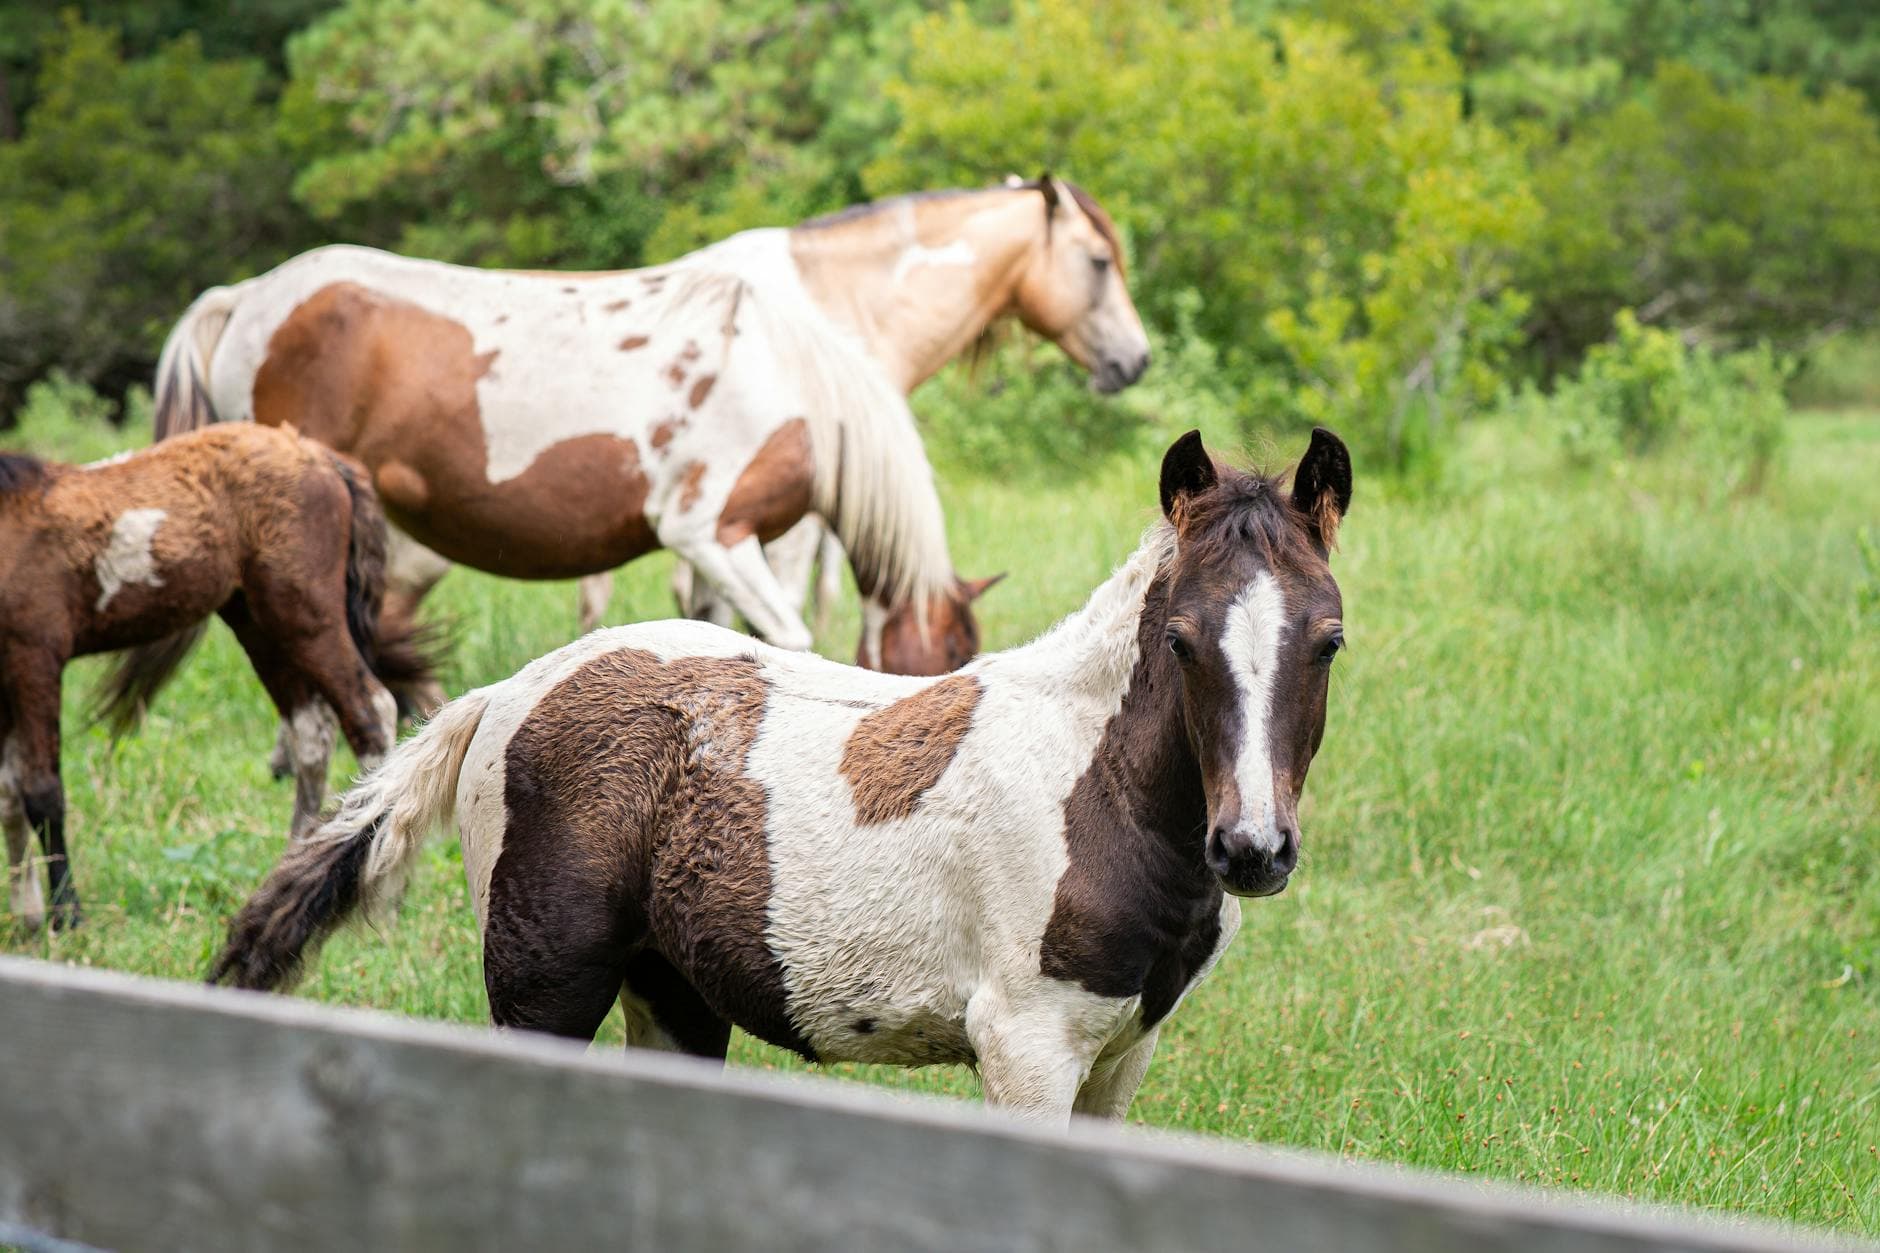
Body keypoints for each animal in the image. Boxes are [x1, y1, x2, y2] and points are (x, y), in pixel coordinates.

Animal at [0, 425, 434, 930]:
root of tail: (319, 454)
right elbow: (8, 788)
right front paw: (27, 914)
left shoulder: (36, 654)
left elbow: (41, 789)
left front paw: (66, 915)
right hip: (257, 622)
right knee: (311, 732)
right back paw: (297, 865)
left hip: (306, 614)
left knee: (369, 711)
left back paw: (381, 886)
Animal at [210, 427, 1352, 1126]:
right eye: (1179, 640)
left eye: (1329, 640)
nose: (1252, 849)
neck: (1098, 788)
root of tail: (506, 692)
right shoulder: (1024, 1045)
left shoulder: (1120, 1054)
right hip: (544, 984)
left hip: (669, 992)